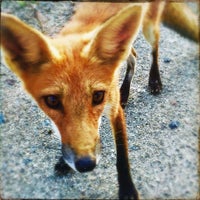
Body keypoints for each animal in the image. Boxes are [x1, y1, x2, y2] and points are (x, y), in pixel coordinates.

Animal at [0, 1, 198, 198]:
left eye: (97, 96)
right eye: (52, 101)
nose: (86, 165)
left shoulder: (114, 111)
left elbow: (122, 156)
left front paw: (127, 189)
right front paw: (65, 161)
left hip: (148, 26)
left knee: (154, 47)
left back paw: (154, 79)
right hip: (125, 45)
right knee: (133, 56)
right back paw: (125, 91)